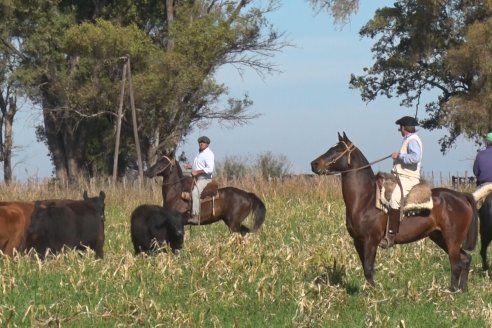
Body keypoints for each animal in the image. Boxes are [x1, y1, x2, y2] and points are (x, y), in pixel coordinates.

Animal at [310, 132, 492, 290]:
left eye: (337, 150)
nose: (314, 164)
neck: (365, 200)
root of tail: (462, 197)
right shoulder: (358, 241)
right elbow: (366, 269)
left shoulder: (370, 241)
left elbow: (368, 269)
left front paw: (373, 295)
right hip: (439, 237)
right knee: (465, 259)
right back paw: (463, 290)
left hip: (451, 239)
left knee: (456, 264)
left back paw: (452, 292)